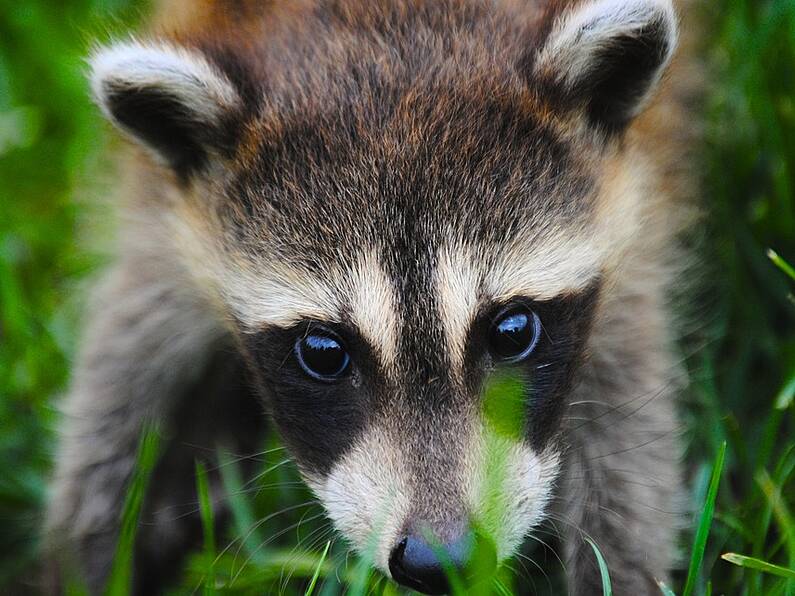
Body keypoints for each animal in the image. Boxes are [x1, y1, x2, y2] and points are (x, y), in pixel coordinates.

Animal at [45, 0, 704, 592]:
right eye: (324, 352)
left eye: (511, 331)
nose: (441, 561)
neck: (384, 29)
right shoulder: (164, 219)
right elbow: (123, 376)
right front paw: (91, 560)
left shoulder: (630, 217)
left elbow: (627, 430)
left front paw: (617, 569)